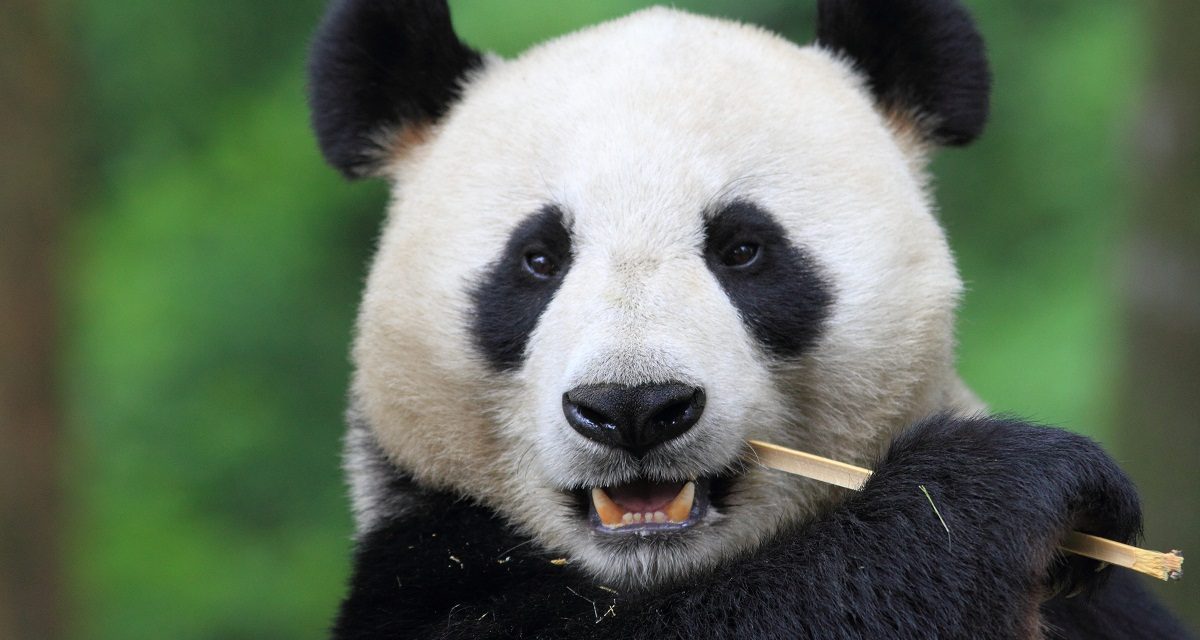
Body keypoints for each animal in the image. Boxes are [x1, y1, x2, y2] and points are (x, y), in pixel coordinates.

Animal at [307, 0, 1192, 638]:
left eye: (742, 249)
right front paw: (1010, 485)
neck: (655, 574)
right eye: (538, 259)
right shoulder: (430, 575)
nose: (635, 408)